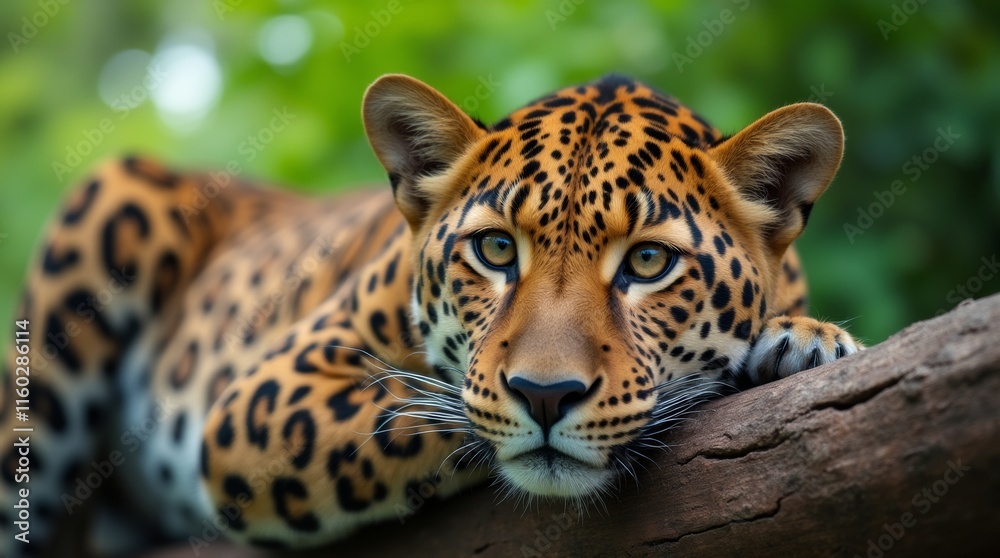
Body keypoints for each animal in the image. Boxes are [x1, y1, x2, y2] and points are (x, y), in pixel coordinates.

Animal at [0, 74, 862, 557]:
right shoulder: (266, 393)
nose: (547, 396)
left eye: (648, 263)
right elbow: (419, 412)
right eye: (496, 250)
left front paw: (806, 343)